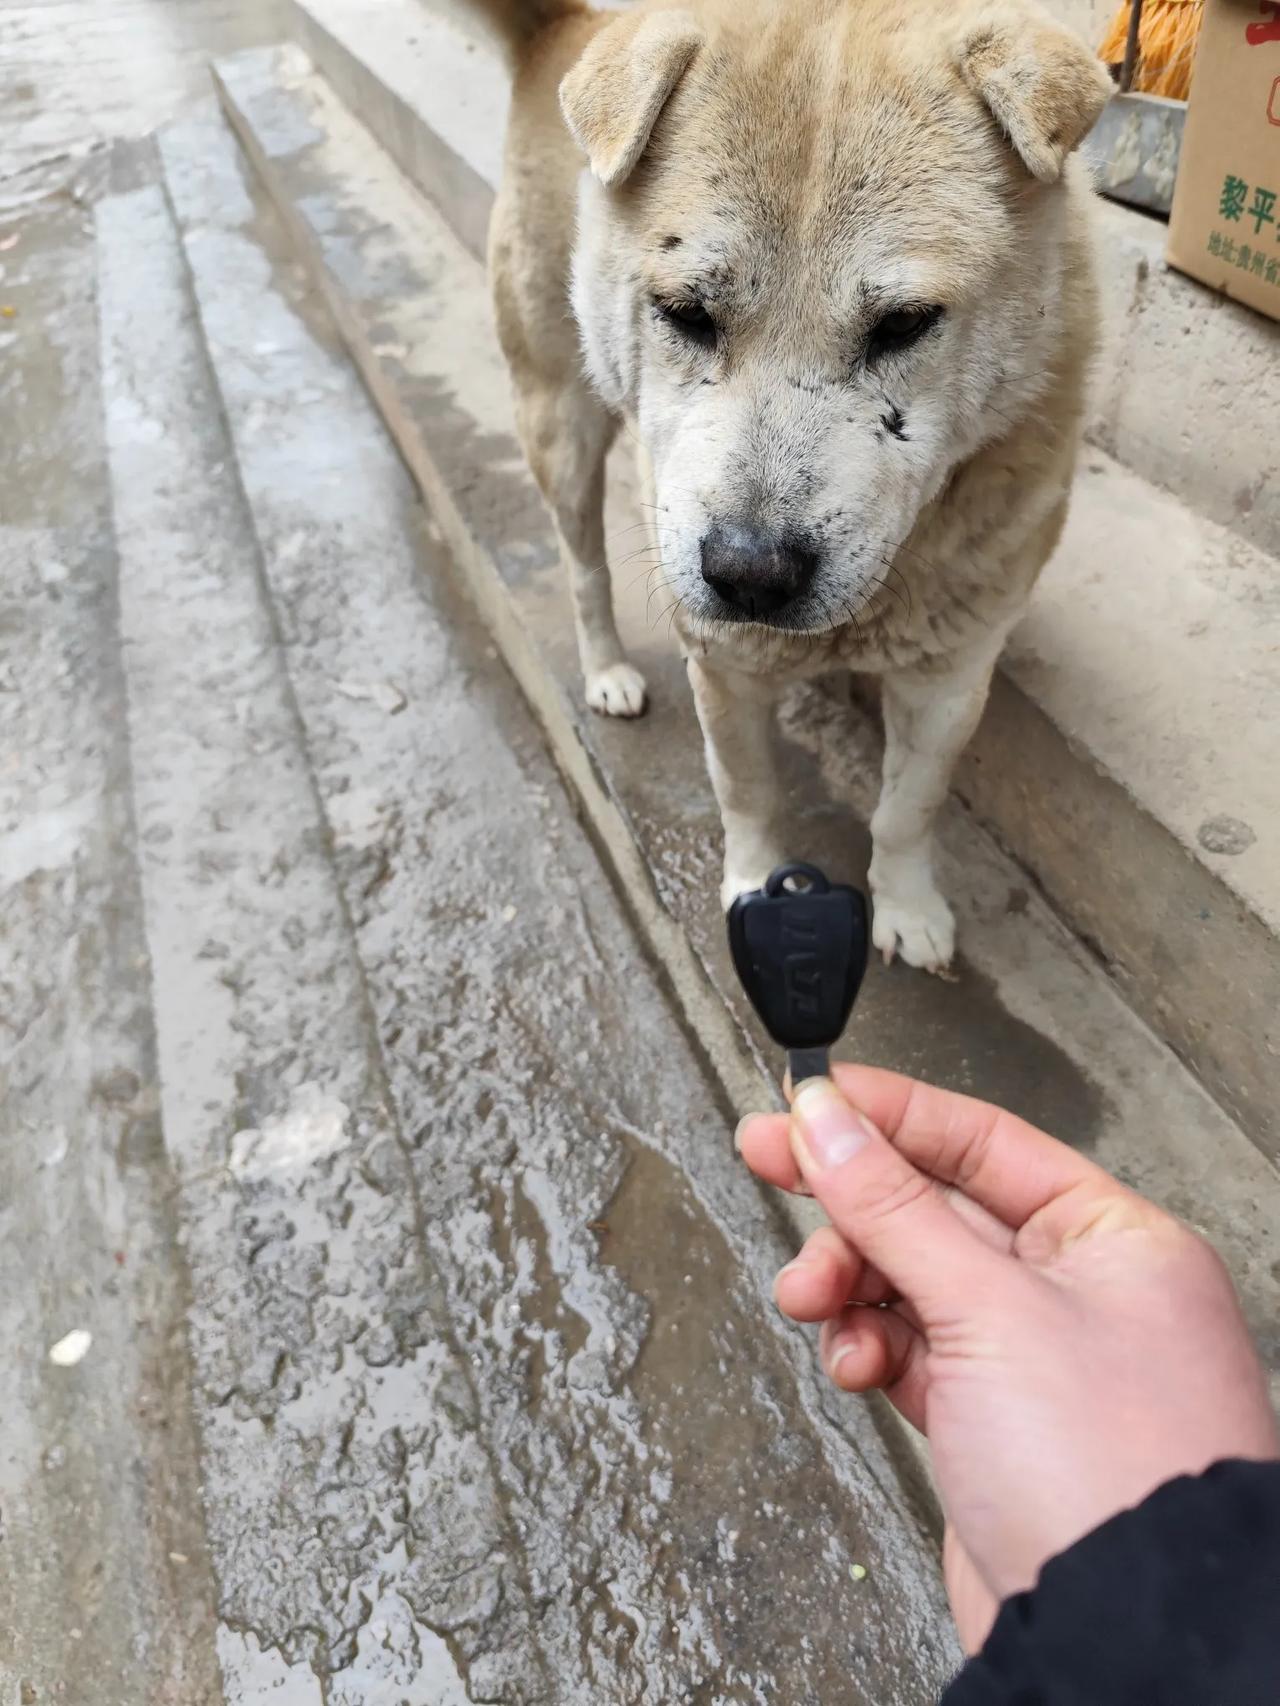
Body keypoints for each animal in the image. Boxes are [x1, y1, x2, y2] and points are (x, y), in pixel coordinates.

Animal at [481, 0, 1112, 969]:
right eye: (685, 313)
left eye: (904, 324)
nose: (749, 574)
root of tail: (568, 28)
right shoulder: (723, 661)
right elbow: (748, 790)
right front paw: (752, 887)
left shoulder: (952, 674)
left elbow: (908, 808)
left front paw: (907, 906)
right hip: (561, 420)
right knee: (583, 565)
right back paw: (608, 669)